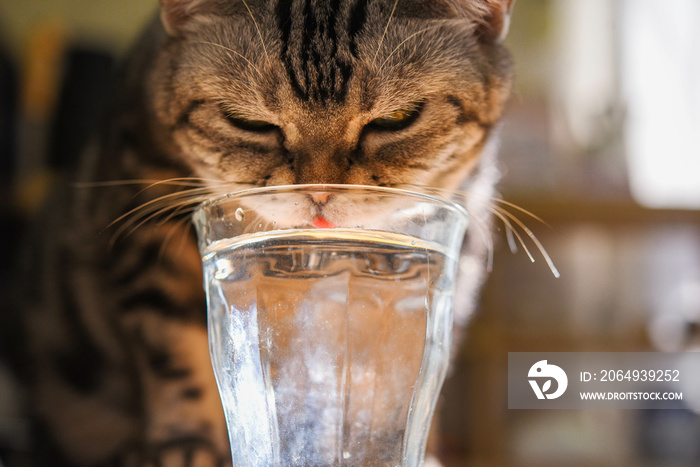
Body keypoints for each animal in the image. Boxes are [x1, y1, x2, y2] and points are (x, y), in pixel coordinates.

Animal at [9, 0, 516, 464]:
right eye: (248, 122)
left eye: (397, 118)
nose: (320, 191)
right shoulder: (147, 231)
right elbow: (179, 360)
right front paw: (189, 448)